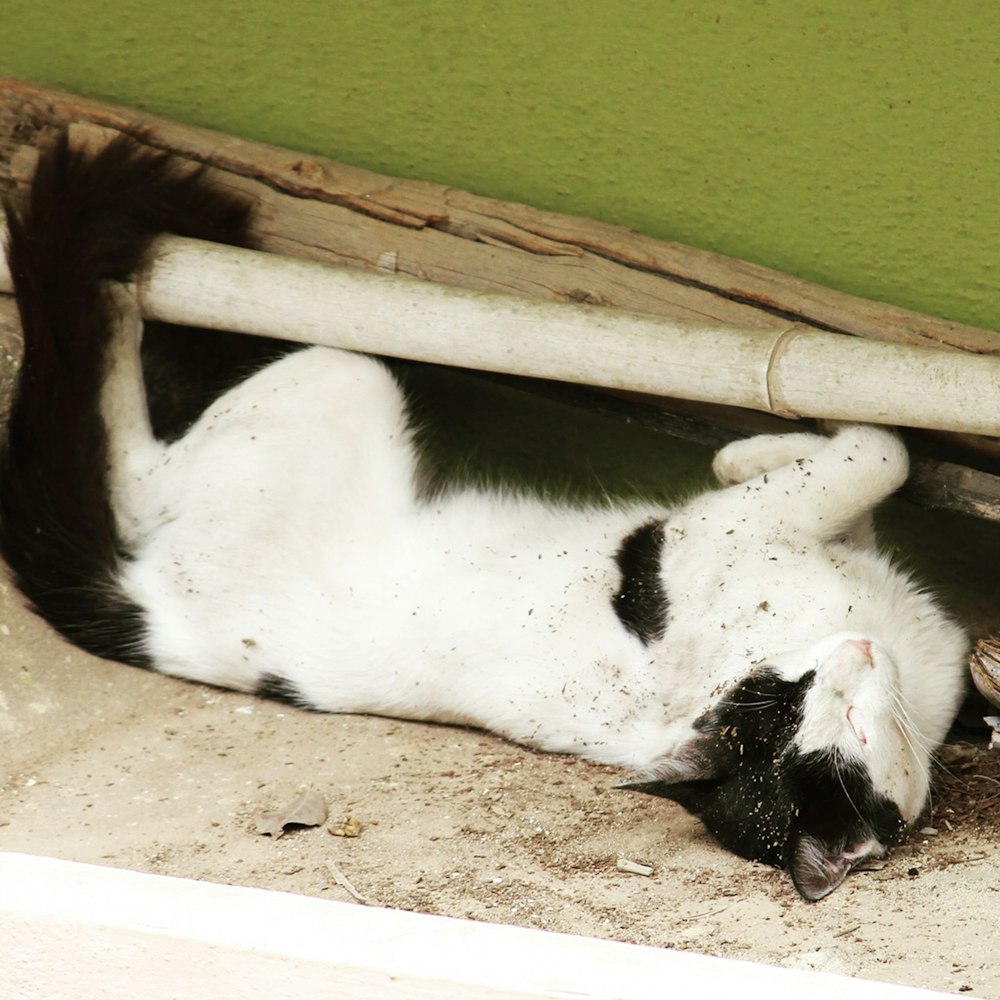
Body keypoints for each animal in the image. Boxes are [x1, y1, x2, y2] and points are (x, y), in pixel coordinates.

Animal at [0, 133, 968, 900]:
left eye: (838, 719)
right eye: (785, 696)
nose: (852, 652)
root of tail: (156, 623)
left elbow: (860, 479)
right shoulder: (706, 534)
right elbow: (876, 453)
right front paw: (770, 444)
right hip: (343, 369)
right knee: (130, 472)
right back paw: (119, 303)